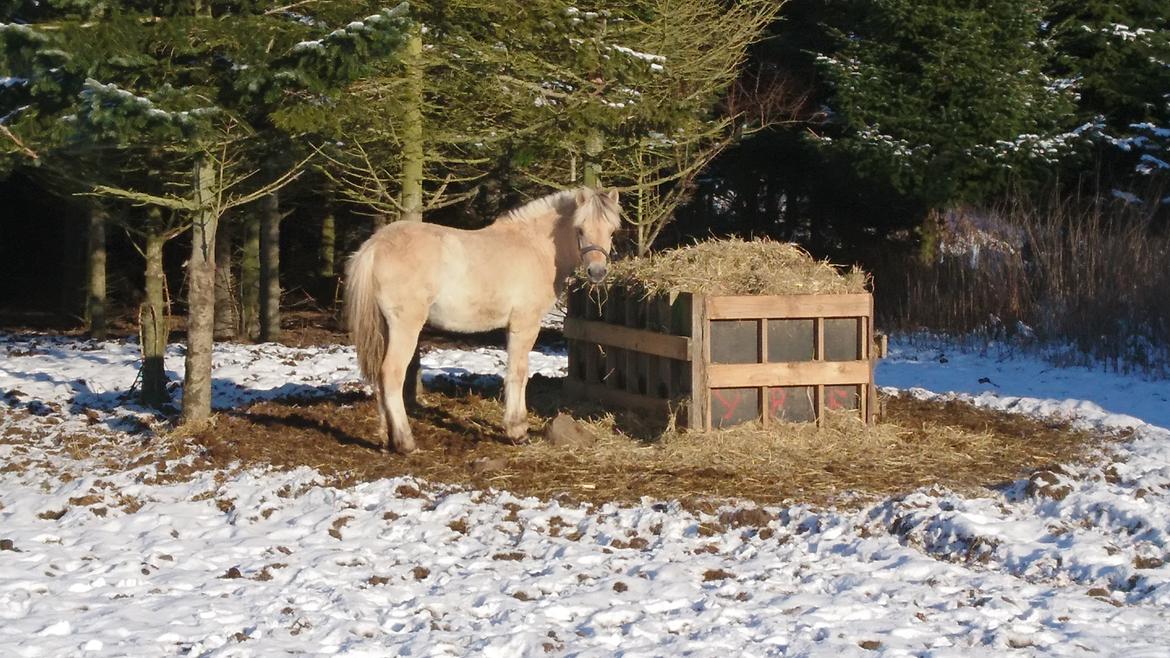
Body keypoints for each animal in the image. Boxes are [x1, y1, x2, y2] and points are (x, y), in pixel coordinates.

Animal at [343, 184, 622, 449]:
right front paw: (517, 431)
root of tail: (375, 245)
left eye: (611, 231)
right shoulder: (525, 324)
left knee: (379, 377)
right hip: (405, 327)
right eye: (580, 229)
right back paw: (405, 442)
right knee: (391, 374)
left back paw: (386, 439)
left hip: (385, 327)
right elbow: (519, 373)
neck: (535, 248)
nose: (597, 272)